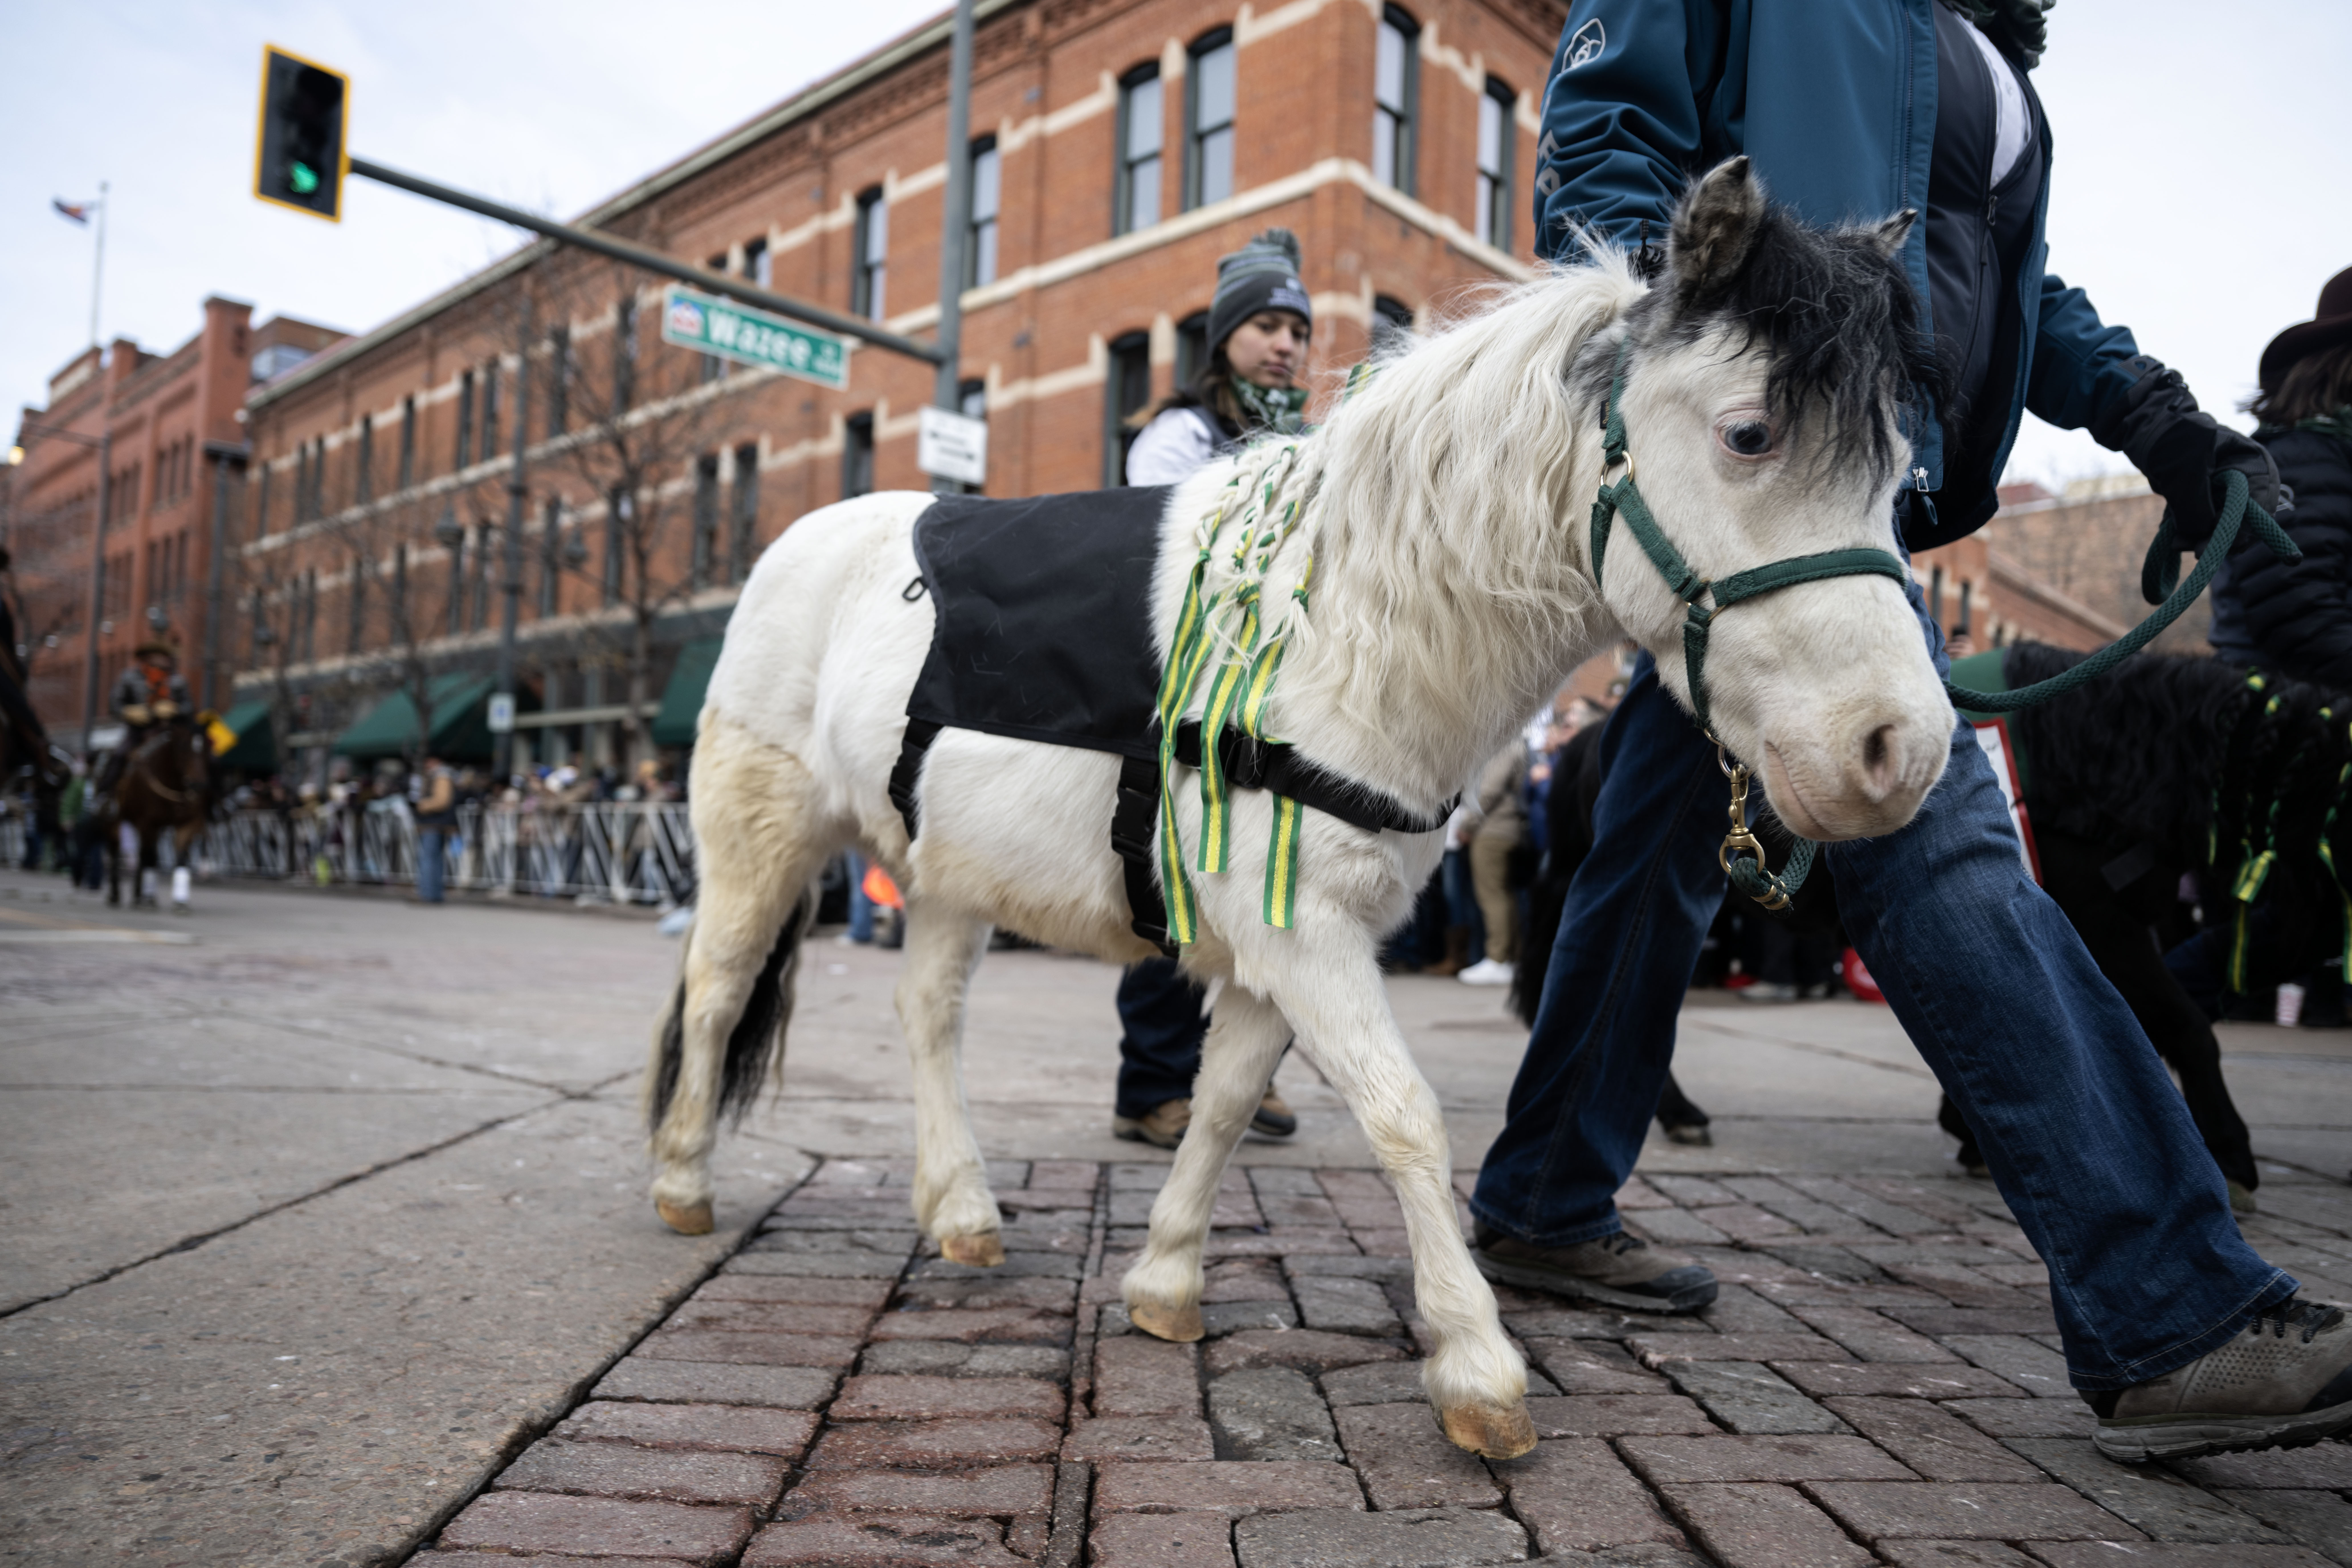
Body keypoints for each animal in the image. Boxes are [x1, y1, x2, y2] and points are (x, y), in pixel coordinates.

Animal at [102, 716, 217, 909]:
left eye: (208, 748)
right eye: (183, 747)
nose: (200, 786)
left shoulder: (189, 823)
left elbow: (179, 858)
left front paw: (181, 900)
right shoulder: (148, 823)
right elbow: (150, 857)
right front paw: (148, 898)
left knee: (142, 855)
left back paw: (138, 894)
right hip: (116, 821)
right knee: (116, 850)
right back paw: (116, 894)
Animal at [648, 158, 1954, 1458]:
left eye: (1900, 476)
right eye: (1749, 433)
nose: (1901, 750)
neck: (1339, 627)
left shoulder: (1281, 941)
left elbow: (1225, 1104)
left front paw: (1165, 1281)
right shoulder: (1306, 930)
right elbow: (1403, 1113)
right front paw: (1477, 1363)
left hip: (948, 869)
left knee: (927, 1014)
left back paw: (962, 1207)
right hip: (762, 833)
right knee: (716, 991)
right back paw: (682, 1181)